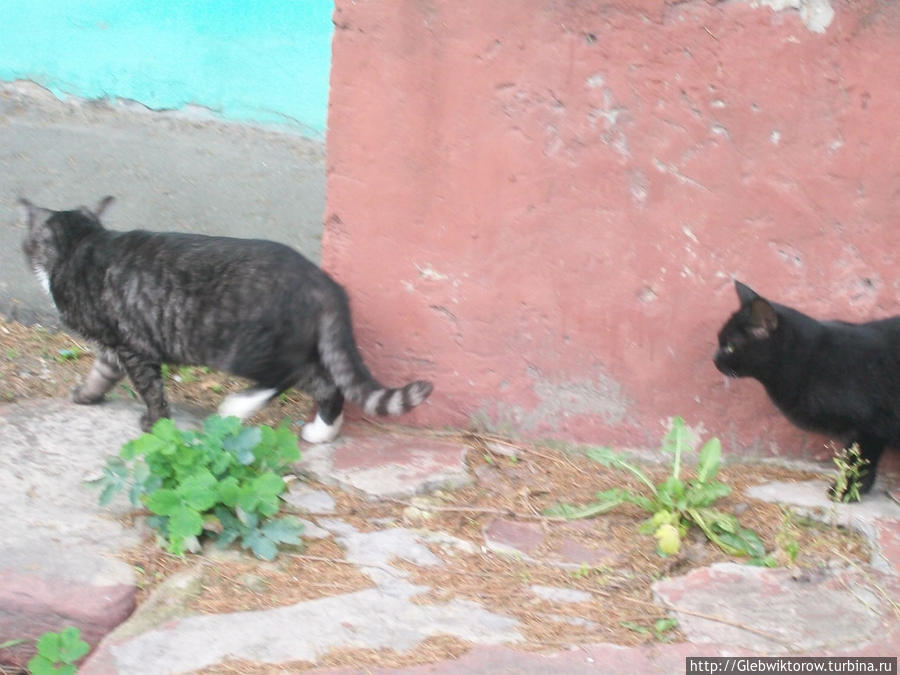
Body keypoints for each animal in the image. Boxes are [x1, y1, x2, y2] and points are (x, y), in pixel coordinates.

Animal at [712, 278, 896, 496]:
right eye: (719, 341)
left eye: (730, 347)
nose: (714, 359)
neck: (810, 359)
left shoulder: (868, 427)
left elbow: (858, 462)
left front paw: (846, 491)